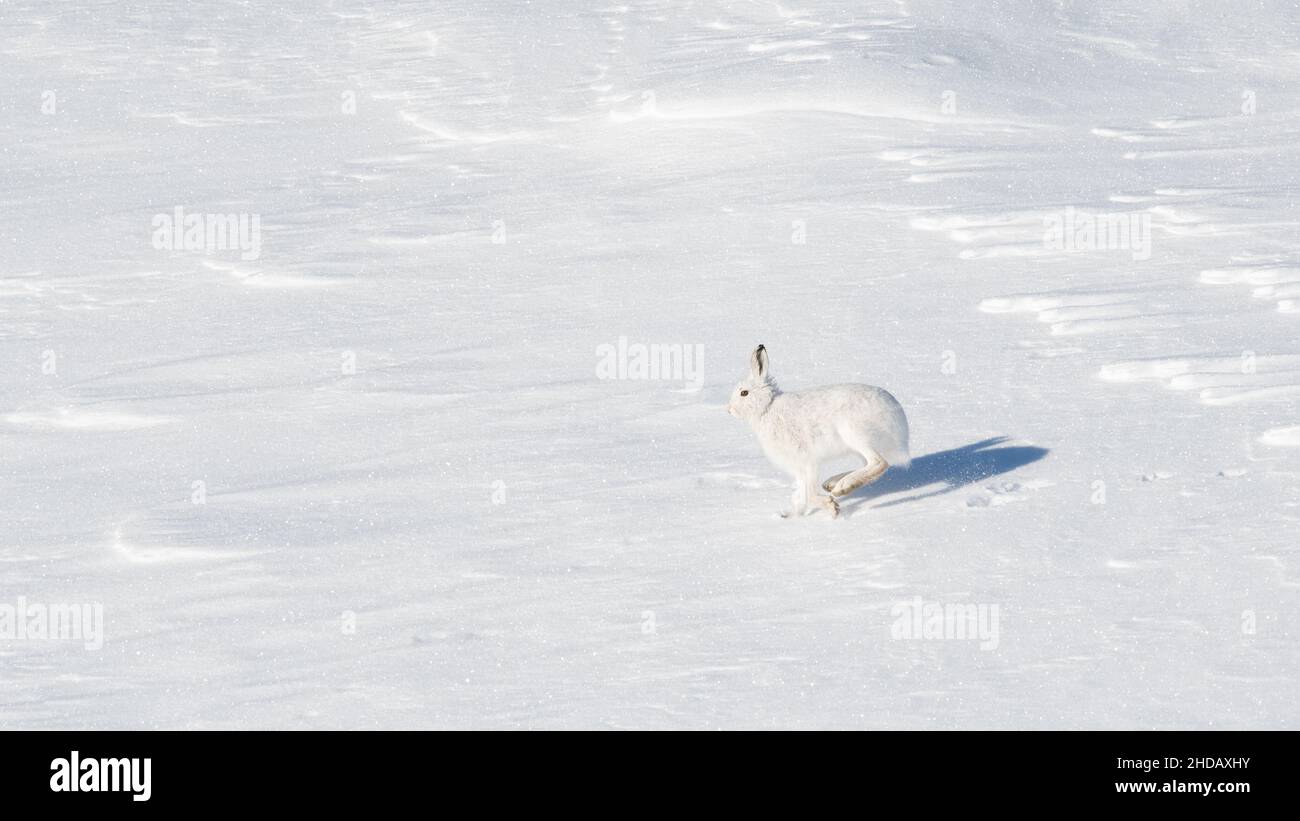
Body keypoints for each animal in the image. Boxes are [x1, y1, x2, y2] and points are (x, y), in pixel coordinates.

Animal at [727, 344, 910, 518]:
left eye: (744, 393)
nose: (729, 410)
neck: (768, 407)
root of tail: (898, 420)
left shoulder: (807, 459)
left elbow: (809, 494)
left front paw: (832, 508)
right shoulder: (800, 468)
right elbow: (802, 494)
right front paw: (791, 516)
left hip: (855, 434)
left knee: (878, 463)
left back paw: (842, 487)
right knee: (869, 464)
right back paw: (832, 483)